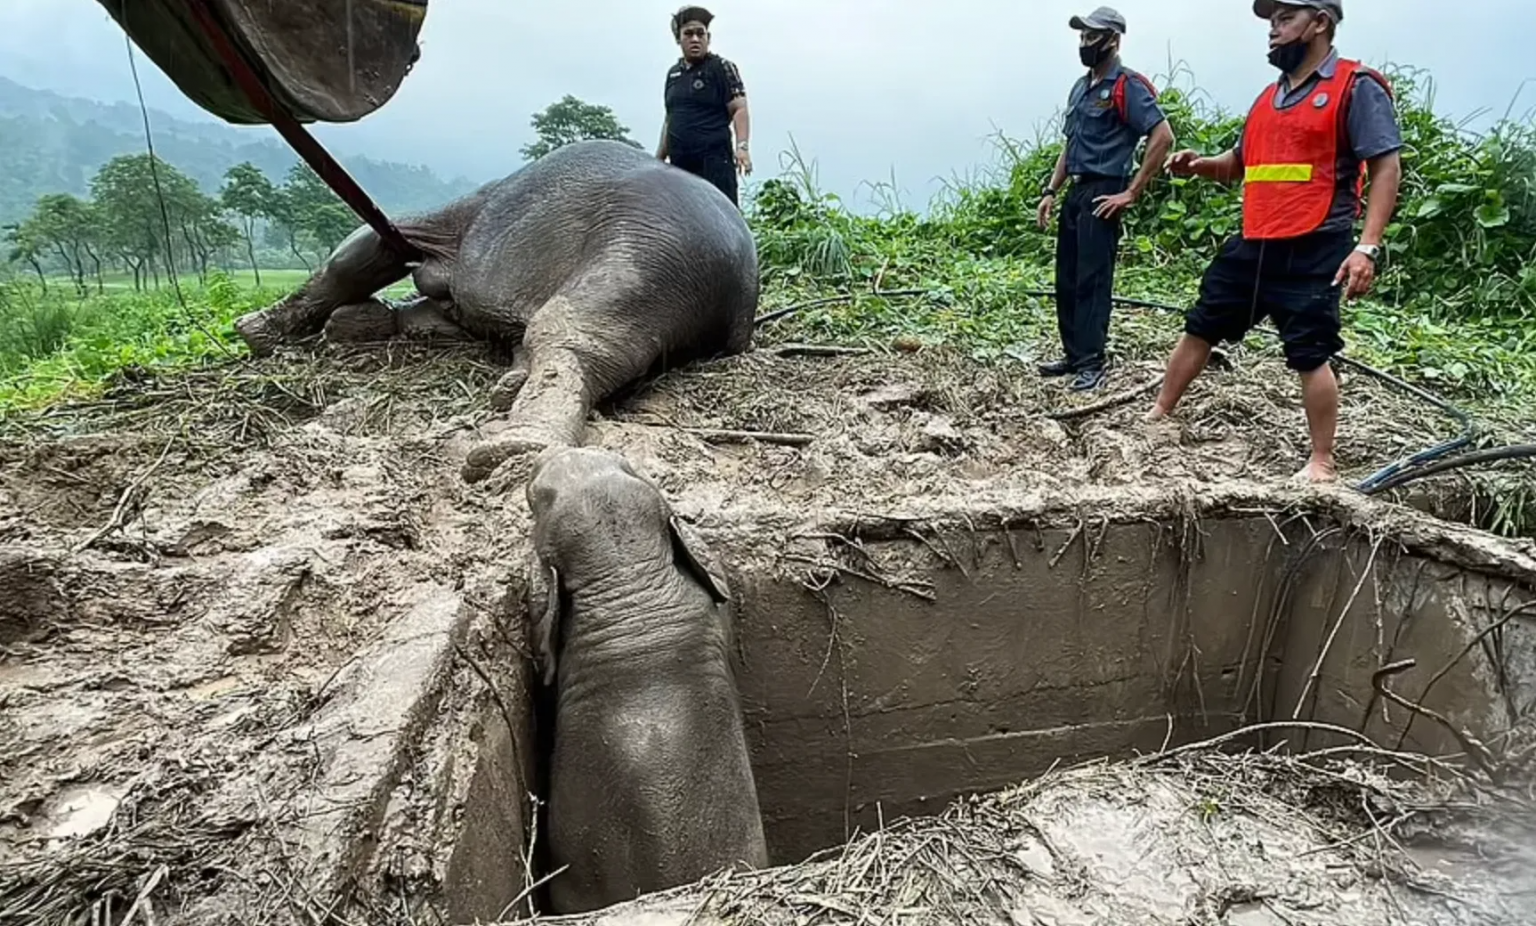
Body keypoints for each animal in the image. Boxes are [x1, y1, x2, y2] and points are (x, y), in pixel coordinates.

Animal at [236, 141, 758, 485]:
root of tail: (739, 286)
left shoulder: (451, 222)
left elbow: (364, 250)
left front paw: (255, 333)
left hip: (645, 255)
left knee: (576, 335)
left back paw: (511, 448)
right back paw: (505, 393)